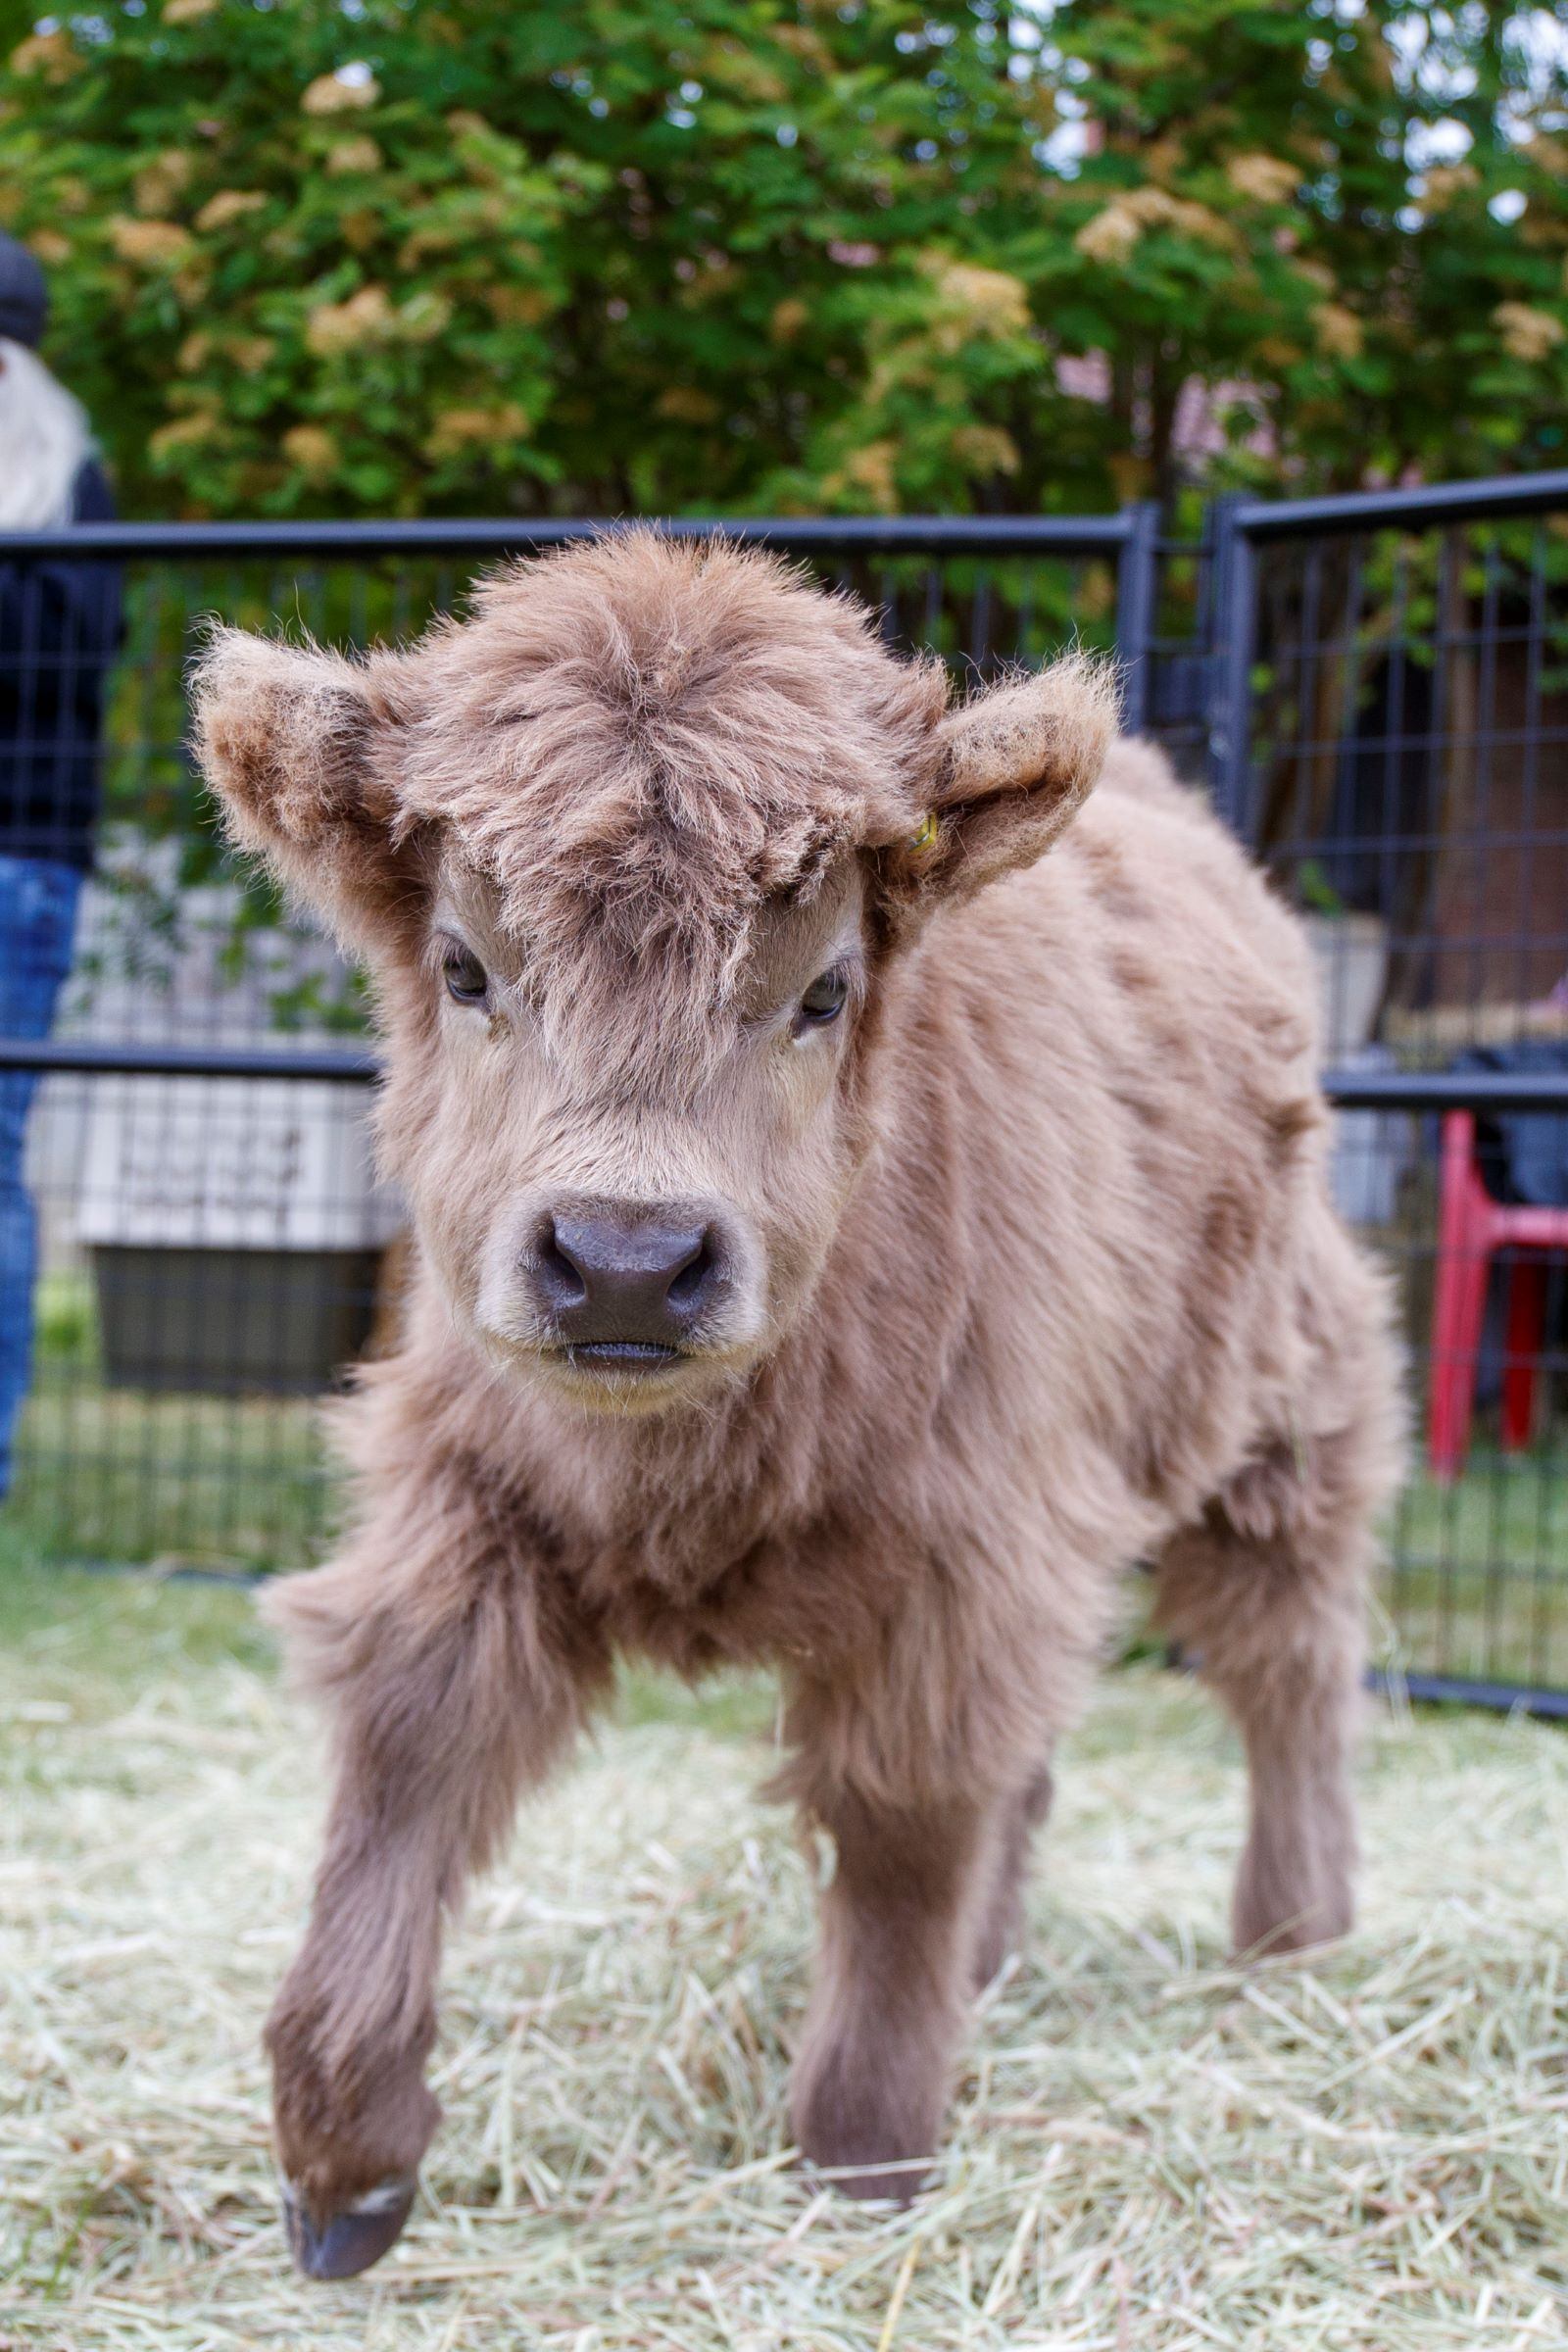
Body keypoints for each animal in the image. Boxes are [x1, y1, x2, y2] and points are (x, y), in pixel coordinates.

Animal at [192, 531, 1401, 2280]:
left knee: (1289, 1656)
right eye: (465, 966)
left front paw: (865, 2155)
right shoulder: (462, 1503)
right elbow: (410, 1748)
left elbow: (901, 1821)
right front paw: (342, 2166)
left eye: (824, 990)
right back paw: (1004, 1963)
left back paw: (1295, 1941)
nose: (625, 1267)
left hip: (1284, 1403)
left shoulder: (960, 1564)